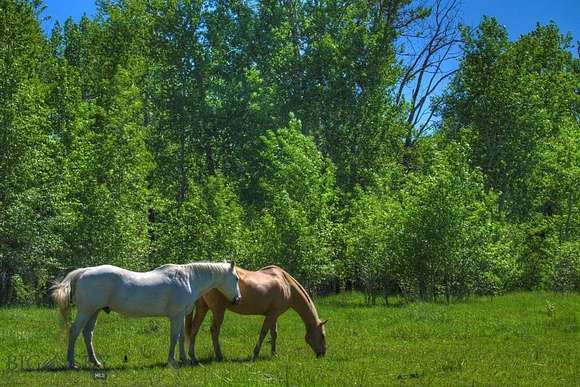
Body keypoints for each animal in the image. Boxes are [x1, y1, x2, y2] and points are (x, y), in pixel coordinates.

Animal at [49, 262, 240, 368]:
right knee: (74, 332)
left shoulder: (180, 316)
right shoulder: (176, 316)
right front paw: (172, 361)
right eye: (237, 278)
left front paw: (184, 359)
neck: (188, 279)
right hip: (86, 311)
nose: (237, 299)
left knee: (87, 333)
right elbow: (174, 337)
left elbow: (180, 338)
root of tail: (84, 271)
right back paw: (71, 363)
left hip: (94, 312)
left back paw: (95, 362)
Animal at [185, 266, 326, 362]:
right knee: (214, 331)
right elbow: (263, 333)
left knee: (194, 329)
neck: (286, 284)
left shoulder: (274, 315)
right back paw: (219, 356)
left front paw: (274, 354)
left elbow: (274, 334)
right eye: (323, 335)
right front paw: (255, 353)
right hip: (218, 310)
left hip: (202, 308)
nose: (323, 354)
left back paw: (193, 357)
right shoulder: (271, 315)